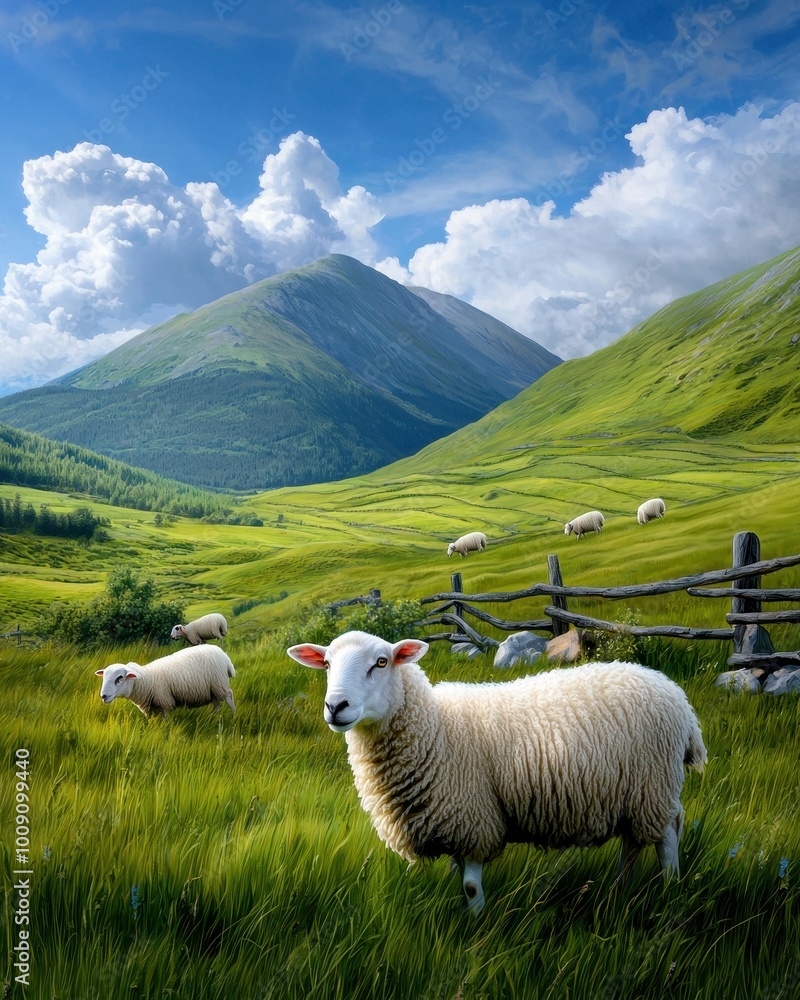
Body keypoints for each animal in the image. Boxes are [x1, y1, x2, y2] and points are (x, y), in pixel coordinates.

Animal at [95, 644, 236, 718]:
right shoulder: (151, 708)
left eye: (119, 678)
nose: (103, 696)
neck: (146, 680)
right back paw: (215, 717)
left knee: (229, 697)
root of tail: (224, 655)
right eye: (104, 677)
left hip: (220, 682)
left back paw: (234, 716)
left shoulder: (165, 701)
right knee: (216, 703)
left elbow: (166, 720)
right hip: (213, 688)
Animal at [287, 630, 706, 915]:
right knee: (634, 841)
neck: (435, 727)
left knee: (668, 835)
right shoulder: (453, 822)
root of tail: (682, 703)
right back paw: (620, 888)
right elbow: (457, 876)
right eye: (327, 664)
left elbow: (471, 886)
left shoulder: (474, 818)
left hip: (654, 783)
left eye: (381, 662)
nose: (335, 706)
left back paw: (669, 887)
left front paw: (477, 924)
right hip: (633, 792)